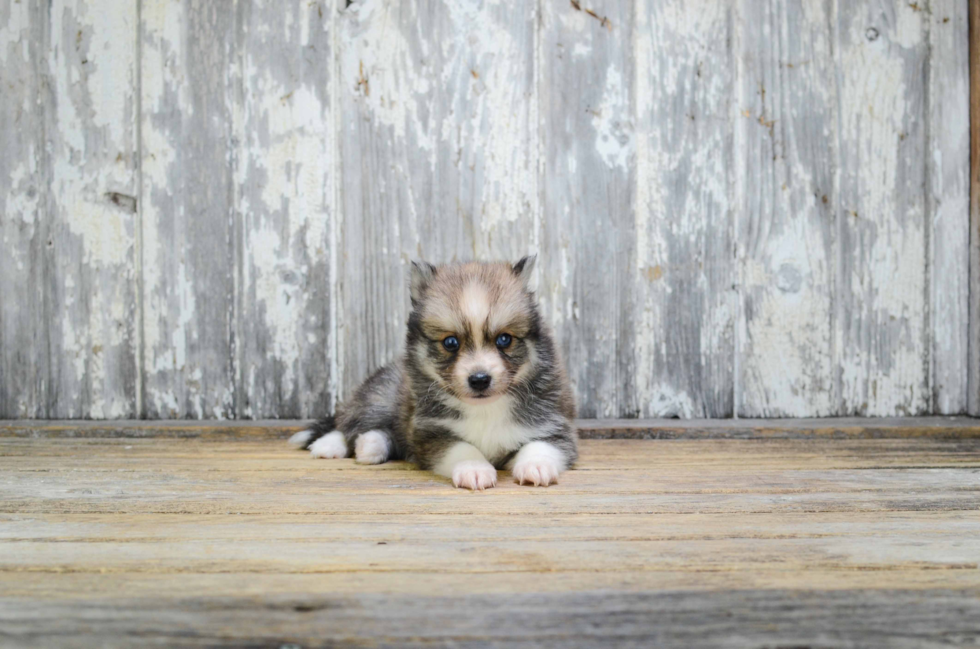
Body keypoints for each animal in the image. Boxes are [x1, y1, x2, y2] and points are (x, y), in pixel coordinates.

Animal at [288, 256, 580, 488]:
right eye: (450, 342)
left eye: (504, 339)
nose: (479, 380)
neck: (485, 409)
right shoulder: (431, 433)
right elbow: (462, 447)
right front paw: (474, 469)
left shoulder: (554, 424)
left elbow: (540, 445)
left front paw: (536, 466)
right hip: (380, 396)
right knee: (347, 422)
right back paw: (330, 445)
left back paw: (369, 446)